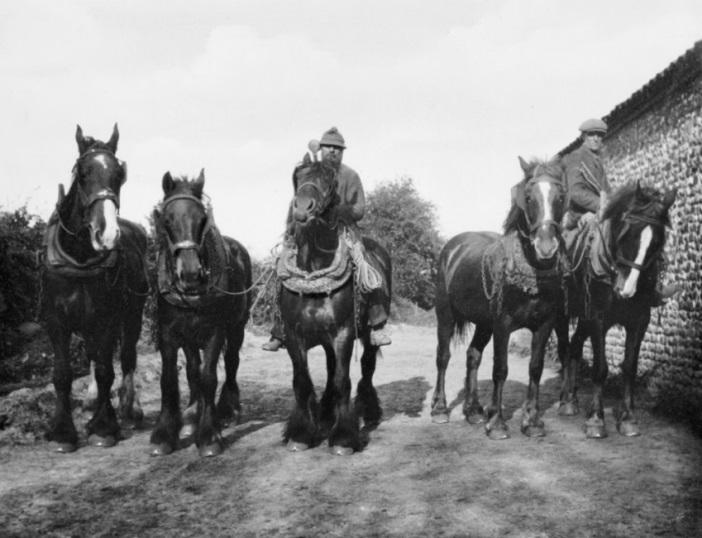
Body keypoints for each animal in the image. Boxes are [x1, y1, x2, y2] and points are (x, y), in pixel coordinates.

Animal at [42, 123, 148, 450]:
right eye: (82, 172)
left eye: (119, 174)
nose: (107, 234)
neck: (78, 258)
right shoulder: (56, 321)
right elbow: (63, 373)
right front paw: (62, 431)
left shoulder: (107, 318)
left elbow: (105, 370)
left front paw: (104, 427)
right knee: (92, 354)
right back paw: (91, 401)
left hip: (133, 313)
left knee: (126, 357)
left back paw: (130, 407)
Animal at [150, 170, 254, 454]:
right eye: (166, 219)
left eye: (202, 219)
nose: (190, 274)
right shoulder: (169, 334)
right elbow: (170, 378)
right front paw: (165, 433)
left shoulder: (214, 332)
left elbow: (209, 376)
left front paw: (209, 435)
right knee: (192, 369)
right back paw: (191, 415)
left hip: (237, 326)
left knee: (231, 362)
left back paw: (228, 409)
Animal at [280, 153, 390, 454]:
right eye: (298, 177)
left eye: (328, 181)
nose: (302, 208)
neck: (313, 268)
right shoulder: (294, 334)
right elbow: (302, 381)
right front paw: (301, 433)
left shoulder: (343, 333)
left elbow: (343, 381)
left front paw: (343, 438)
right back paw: (326, 415)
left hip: (366, 334)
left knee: (366, 368)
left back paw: (368, 411)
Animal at [428, 155, 572, 436]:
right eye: (528, 197)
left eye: (560, 196)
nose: (546, 246)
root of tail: (452, 249)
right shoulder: (503, 324)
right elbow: (500, 369)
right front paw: (497, 423)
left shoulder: (544, 324)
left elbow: (535, 368)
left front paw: (531, 422)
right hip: (446, 315)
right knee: (443, 356)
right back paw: (439, 409)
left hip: (484, 323)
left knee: (473, 355)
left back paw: (473, 411)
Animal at [560, 180, 676, 436]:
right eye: (627, 232)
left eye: (656, 242)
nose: (626, 289)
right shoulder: (598, 319)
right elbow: (600, 368)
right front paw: (596, 419)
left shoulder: (639, 321)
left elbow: (630, 367)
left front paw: (628, 417)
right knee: (566, 348)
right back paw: (566, 400)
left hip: (584, 319)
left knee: (575, 346)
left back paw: (572, 399)